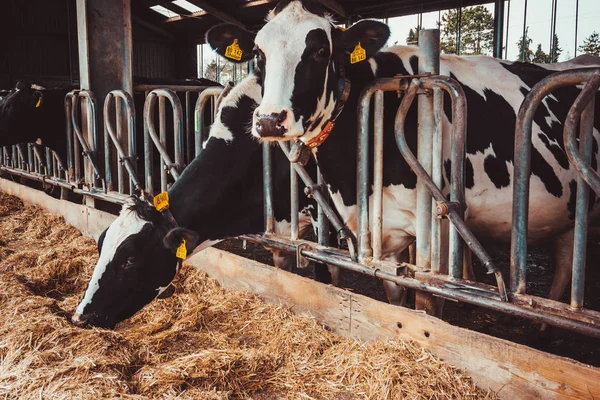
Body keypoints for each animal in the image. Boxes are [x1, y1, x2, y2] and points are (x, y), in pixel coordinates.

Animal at [205, 0, 600, 304]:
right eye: (259, 54)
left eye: (319, 51)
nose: (269, 120)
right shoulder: (376, 232)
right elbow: (393, 293)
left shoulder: (439, 228)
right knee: (567, 260)